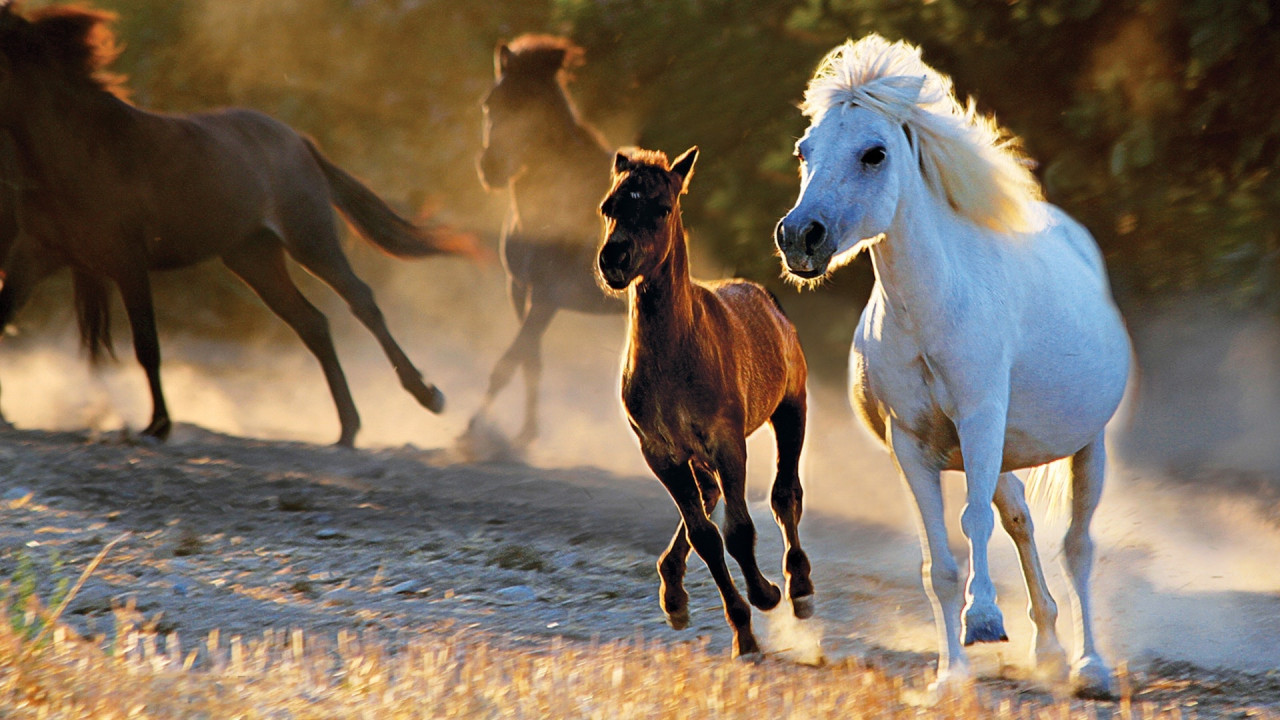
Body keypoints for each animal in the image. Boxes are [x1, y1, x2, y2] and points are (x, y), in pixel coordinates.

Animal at [0, 4, 484, 446]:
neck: (77, 153)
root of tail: (298, 140)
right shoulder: (38, 254)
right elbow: (9, 318)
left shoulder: (127, 260)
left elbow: (147, 346)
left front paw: (159, 426)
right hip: (253, 256)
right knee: (312, 323)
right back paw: (347, 429)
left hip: (309, 239)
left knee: (361, 302)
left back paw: (428, 396)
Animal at [470, 34, 622, 447]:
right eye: (490, 103)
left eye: (531, 107)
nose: (492, 168)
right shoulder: (520, 289)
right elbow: (530, 362)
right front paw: (526, 434)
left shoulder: (549, 295)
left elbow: (509, 361)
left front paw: (470, 432)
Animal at [598, 146, 813, 658]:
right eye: (609, 207)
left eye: (662, 208)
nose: (614, 258)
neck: (675, 356)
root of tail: (766, 298)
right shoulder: (660, 451)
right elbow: (704, 535)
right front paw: (742, 631)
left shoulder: (727, 441)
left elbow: (738, 530)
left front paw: (765, 594)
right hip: (694, 454)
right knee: (711, 498)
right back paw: (673, 591)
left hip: (791, 407)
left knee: (786, 494)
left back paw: (798, 586)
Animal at [774, 35, 1130, 697]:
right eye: (805, 151)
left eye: (874, 153)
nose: (799, 237)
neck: (930, 312)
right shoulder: (912, 444)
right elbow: (937, 561)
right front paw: (951, 677)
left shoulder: (980, 419)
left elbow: (973, 524)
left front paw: (984, 622)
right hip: (1004, 452)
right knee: (1021, 519)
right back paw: (1048, 649)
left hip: (1085, 445)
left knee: (1077, 546)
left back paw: (1090, 668)